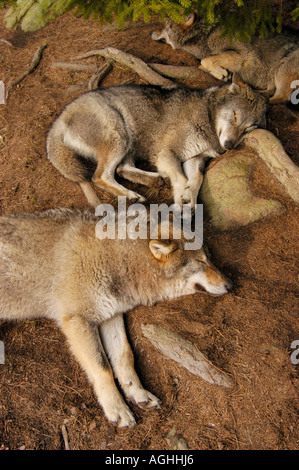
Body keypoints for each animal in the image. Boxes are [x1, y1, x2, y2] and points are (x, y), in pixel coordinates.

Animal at [0, 207, 234, 428]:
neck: (113, 258)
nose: (231, 284)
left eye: (210, 259)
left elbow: (125, 357)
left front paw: (138, 394)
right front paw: (117, 410)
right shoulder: (78, 321)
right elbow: (103, 368)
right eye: (201, 262)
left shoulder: (110, 316)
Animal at [47, 77, 268, 207]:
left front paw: (189, 200)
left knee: (121, 169)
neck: (206, 115)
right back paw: (132, 195)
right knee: (100, 177)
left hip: (129, 144)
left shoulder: (195, 159)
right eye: (235, 116)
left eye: (248, 129)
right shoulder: (166, 153)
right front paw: (181, 202)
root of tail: (59, 119)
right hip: (119, 135)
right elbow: (182, 180)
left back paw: (155, 180)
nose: (229, 146)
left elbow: (197, 180)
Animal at [152, 12, 299, 104]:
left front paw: (221, 72)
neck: (206, 33)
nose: (150, 32)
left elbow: (205, 60)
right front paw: (221, 73)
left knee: (282, 98)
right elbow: (202, 63)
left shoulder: (244, 55)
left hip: (282, 70)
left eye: (165, 23)